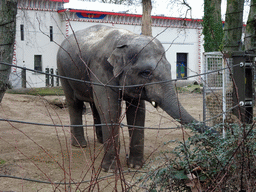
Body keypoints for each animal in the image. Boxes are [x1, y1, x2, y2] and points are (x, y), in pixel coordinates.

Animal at [57, 24, 207, 172]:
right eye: (146, 73)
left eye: (170, 67)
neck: (126, 39)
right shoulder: (100, 69)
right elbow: (110, 108)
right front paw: (110, 170)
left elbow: (137, 111)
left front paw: (135, 166)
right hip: (63, 71)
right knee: (75, 103)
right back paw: (79, 145)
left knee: (95, 105)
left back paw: (101, 141)